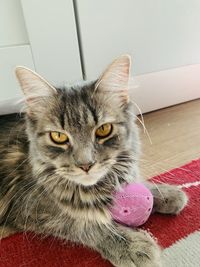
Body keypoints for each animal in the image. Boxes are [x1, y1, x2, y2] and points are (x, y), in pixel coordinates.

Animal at [0, 55, 188, 266]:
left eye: (104, 130)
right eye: (58, 137)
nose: (86, 165)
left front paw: (166, 193)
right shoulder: (32, 210)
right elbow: (85, 224)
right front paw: (131, 245)